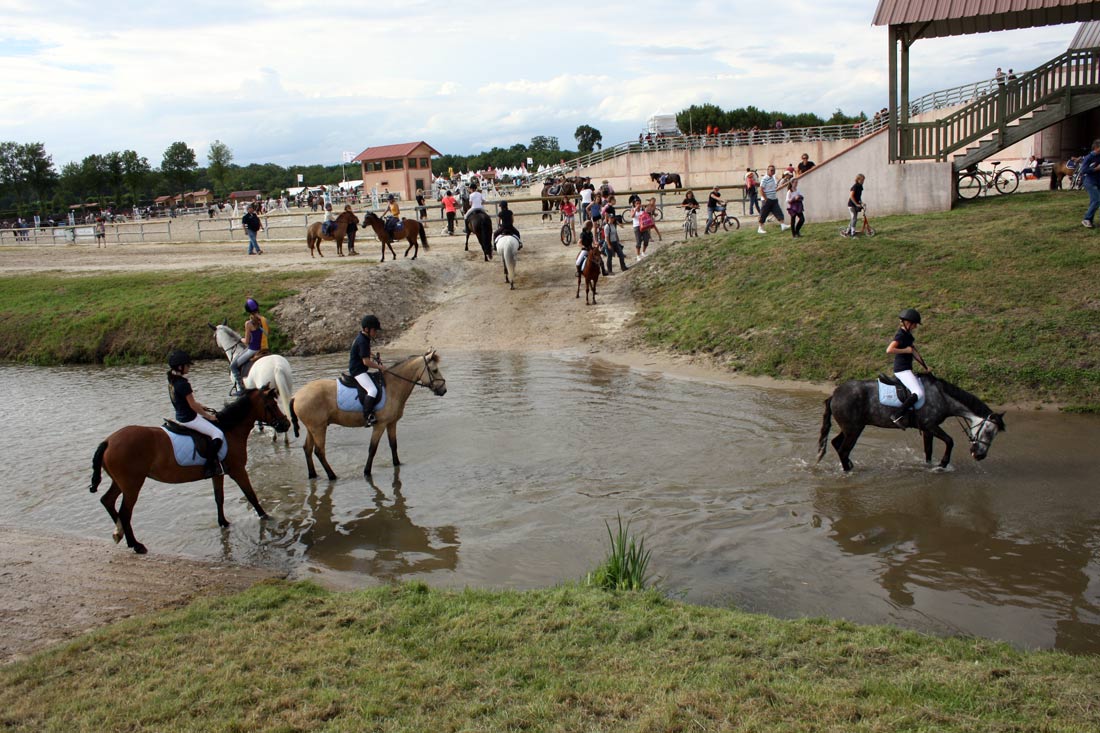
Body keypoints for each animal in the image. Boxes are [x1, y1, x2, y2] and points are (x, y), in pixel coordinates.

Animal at [87, 385, 290, 550]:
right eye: (272, 405)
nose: (286, 424)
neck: (228, 429)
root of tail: (108, 441)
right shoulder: (238, 470)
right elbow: (251, 495)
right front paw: (266, 517)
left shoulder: (218, 473)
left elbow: (219, 498)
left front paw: (223, 522)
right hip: (132, 484)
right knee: (125, 512)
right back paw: (135, 544)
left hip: (120, 482)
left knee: (107, 500)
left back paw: (119, 533)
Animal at [292, 349, 451, 479]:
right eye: (435, 370)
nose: (443, 390)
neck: (393, 386)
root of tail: (296, 396)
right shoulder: (379, 425)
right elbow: (372, 449)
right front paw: (367, 472)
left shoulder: (391, 423)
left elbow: (393, 445)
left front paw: (397, 464)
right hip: (318, 428)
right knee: (319, 452)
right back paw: (332, 476)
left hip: (312, 428)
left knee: (307, 449)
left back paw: (313, 475)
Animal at [818, 374, 1007, 471]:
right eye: (988, 431)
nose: (980, 455)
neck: (942, 396)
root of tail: (834, 395)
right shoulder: (930, 425)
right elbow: (950, 441)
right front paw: (943, 464)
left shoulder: (927, 430)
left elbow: (928, 450)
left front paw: (929, 466)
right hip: (854, 429)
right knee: (843, 450)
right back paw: (849, 471)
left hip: (851, 427)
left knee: (836, 443)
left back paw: (849, 465)